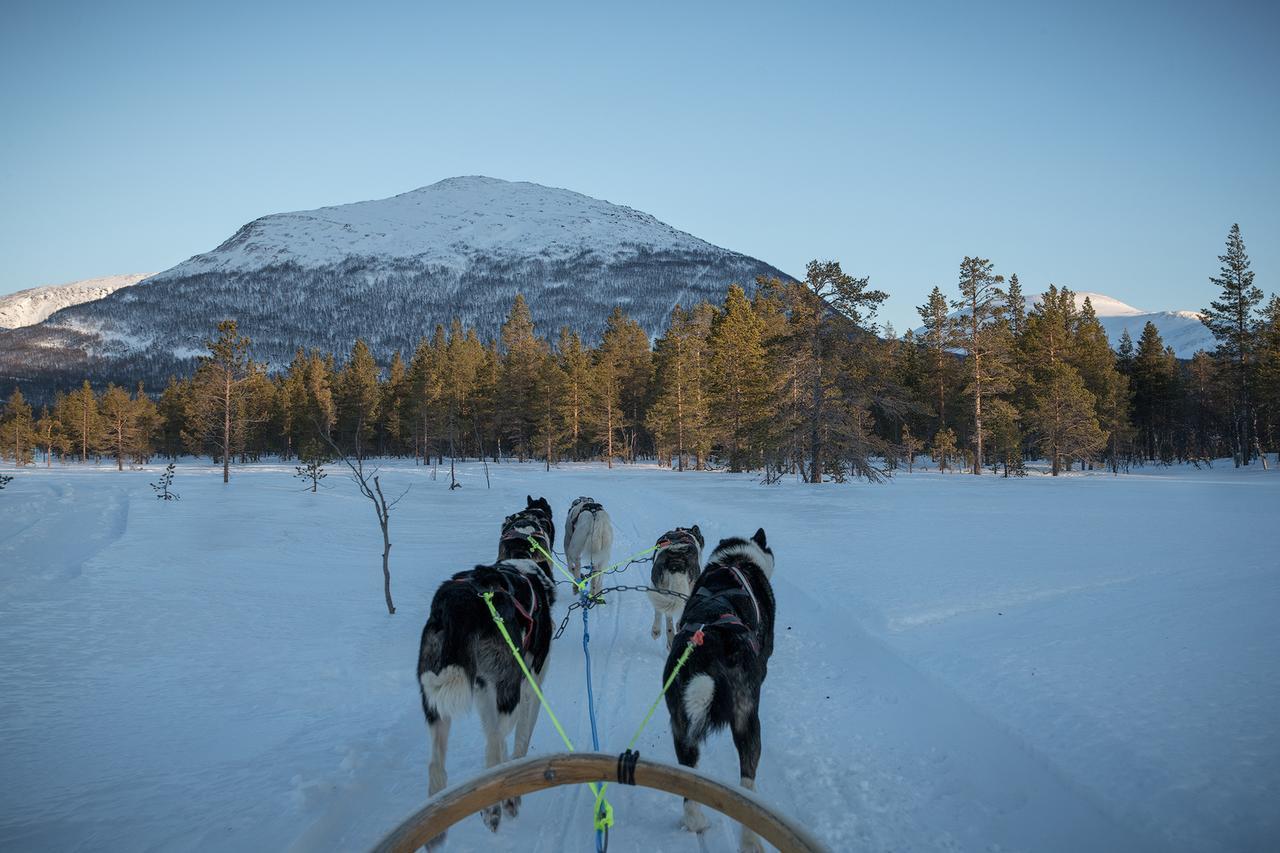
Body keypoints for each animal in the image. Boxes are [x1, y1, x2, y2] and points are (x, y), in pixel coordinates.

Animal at [665, 525, 773, 850]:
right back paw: (751, 841)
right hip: (747, 721)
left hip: (680, 724)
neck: (737, 561)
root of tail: (710, 640)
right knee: (747, 782)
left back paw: (695, 822)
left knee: (688, 780)